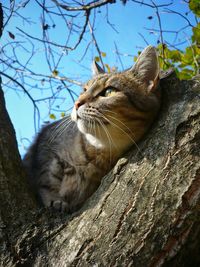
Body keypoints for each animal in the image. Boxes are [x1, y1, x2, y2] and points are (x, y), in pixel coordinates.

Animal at [23, 45, 161, 214]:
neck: (96, 153)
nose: (77, 103)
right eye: (84, 90)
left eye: (109, 91)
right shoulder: (46, 147)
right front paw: (55, 199)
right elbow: (47, 179)